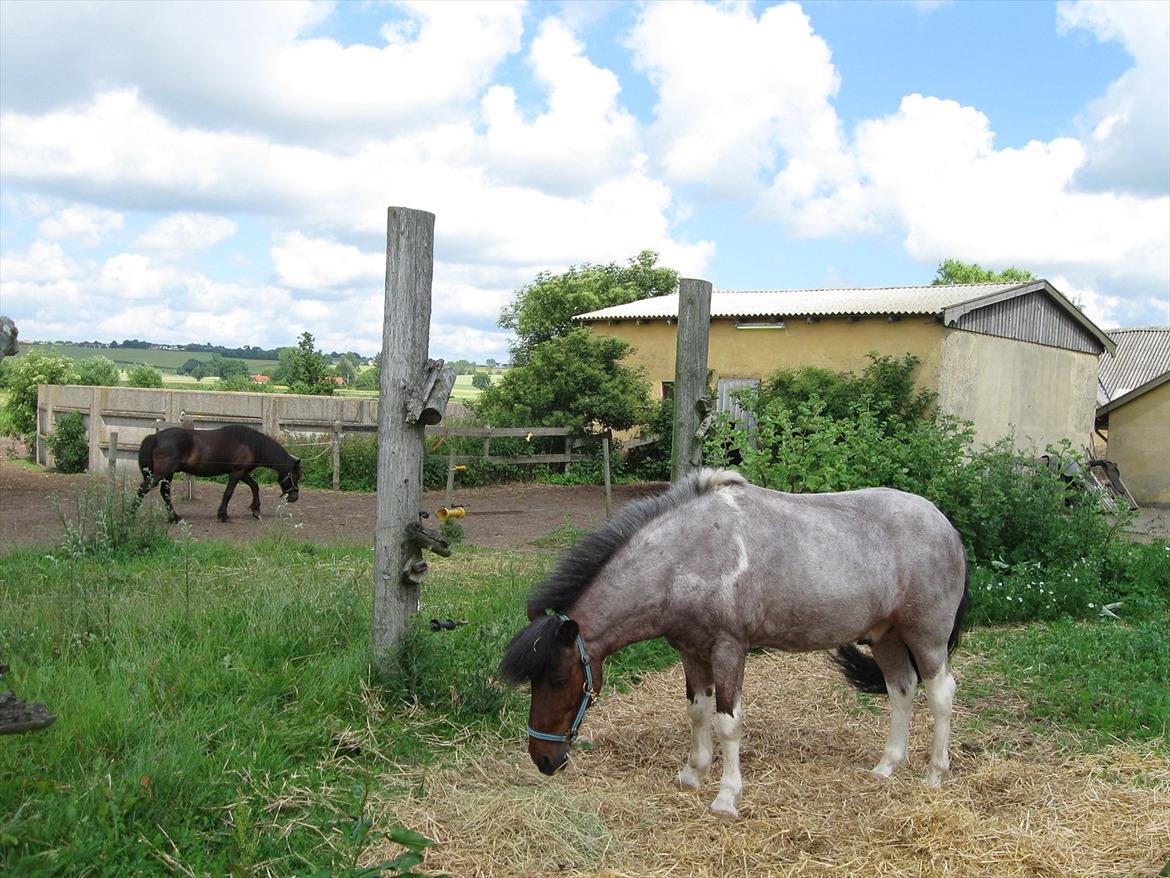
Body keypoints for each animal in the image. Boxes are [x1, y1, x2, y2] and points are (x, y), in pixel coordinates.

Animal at [137, 426, 304, 522]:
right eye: (294, 476)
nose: (294, 497)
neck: (252, 444)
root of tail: (155, 437)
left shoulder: (242, 472)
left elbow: (255, 486)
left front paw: (256, 510)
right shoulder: (236, 473)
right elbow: (228, 493)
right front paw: (223, 515)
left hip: (167, 474)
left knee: (164, 493)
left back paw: (174, 517)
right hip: (162, 474)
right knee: (143, 490)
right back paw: (133, 514)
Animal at [503, 470, 968, 824]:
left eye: (559, 679)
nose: (543, 758)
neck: (685, 559)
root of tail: (946, 526)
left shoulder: (729, 650)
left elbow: (727, 723)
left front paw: (726, 797)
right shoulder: (691, 652)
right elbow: (698, 712)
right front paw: (692, 774)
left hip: (925, 636)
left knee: (941, 694)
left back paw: (935, 773)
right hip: (886, 636)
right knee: (901, 690)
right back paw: (887, 767)